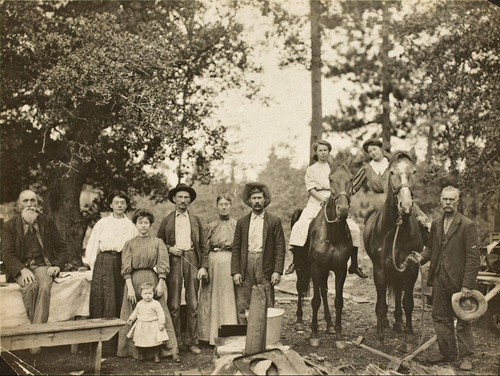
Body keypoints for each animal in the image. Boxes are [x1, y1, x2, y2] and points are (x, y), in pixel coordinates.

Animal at [292, 156, 354, 346]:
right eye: (331, 179)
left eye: (351, 178)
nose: (343, 210)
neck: (332, 233)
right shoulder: (316, 267)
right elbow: (315, 300)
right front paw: (313, 335)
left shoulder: (340, 269)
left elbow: (338, 300)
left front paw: (339, 335)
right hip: (301, 266)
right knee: (300, 288)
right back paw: (299, 320)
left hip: (326, 269)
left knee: (324, 291)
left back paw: (329, 324)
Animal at [364, 149, 426, 344]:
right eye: (391, 172)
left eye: (414, 171)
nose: (405, 206)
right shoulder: (380, 269)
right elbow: (380, 303)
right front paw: (380, 335)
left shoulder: (411, 267)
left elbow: (408, 302)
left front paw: (409, 332)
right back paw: (385, 322)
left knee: (398, 293)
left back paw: (398, 323)